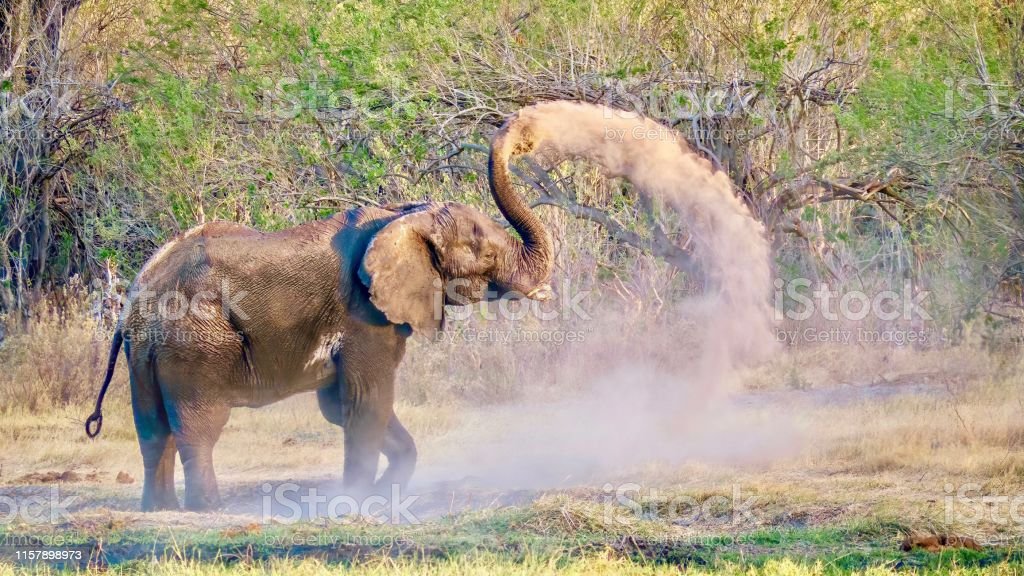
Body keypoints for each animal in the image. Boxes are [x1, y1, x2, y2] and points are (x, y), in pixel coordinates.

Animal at [83, 126, 557, 510]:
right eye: (487, 255)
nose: (521, 136)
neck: (404, 216)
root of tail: (134, 301)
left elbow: (341, 406)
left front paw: (382, 492)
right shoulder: (363, 316)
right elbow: (368, 401)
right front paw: (357, 501)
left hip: (148, 352)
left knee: (152, 431)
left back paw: (158, 509)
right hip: (195, 343)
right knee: (198, 427)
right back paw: (209, 509)